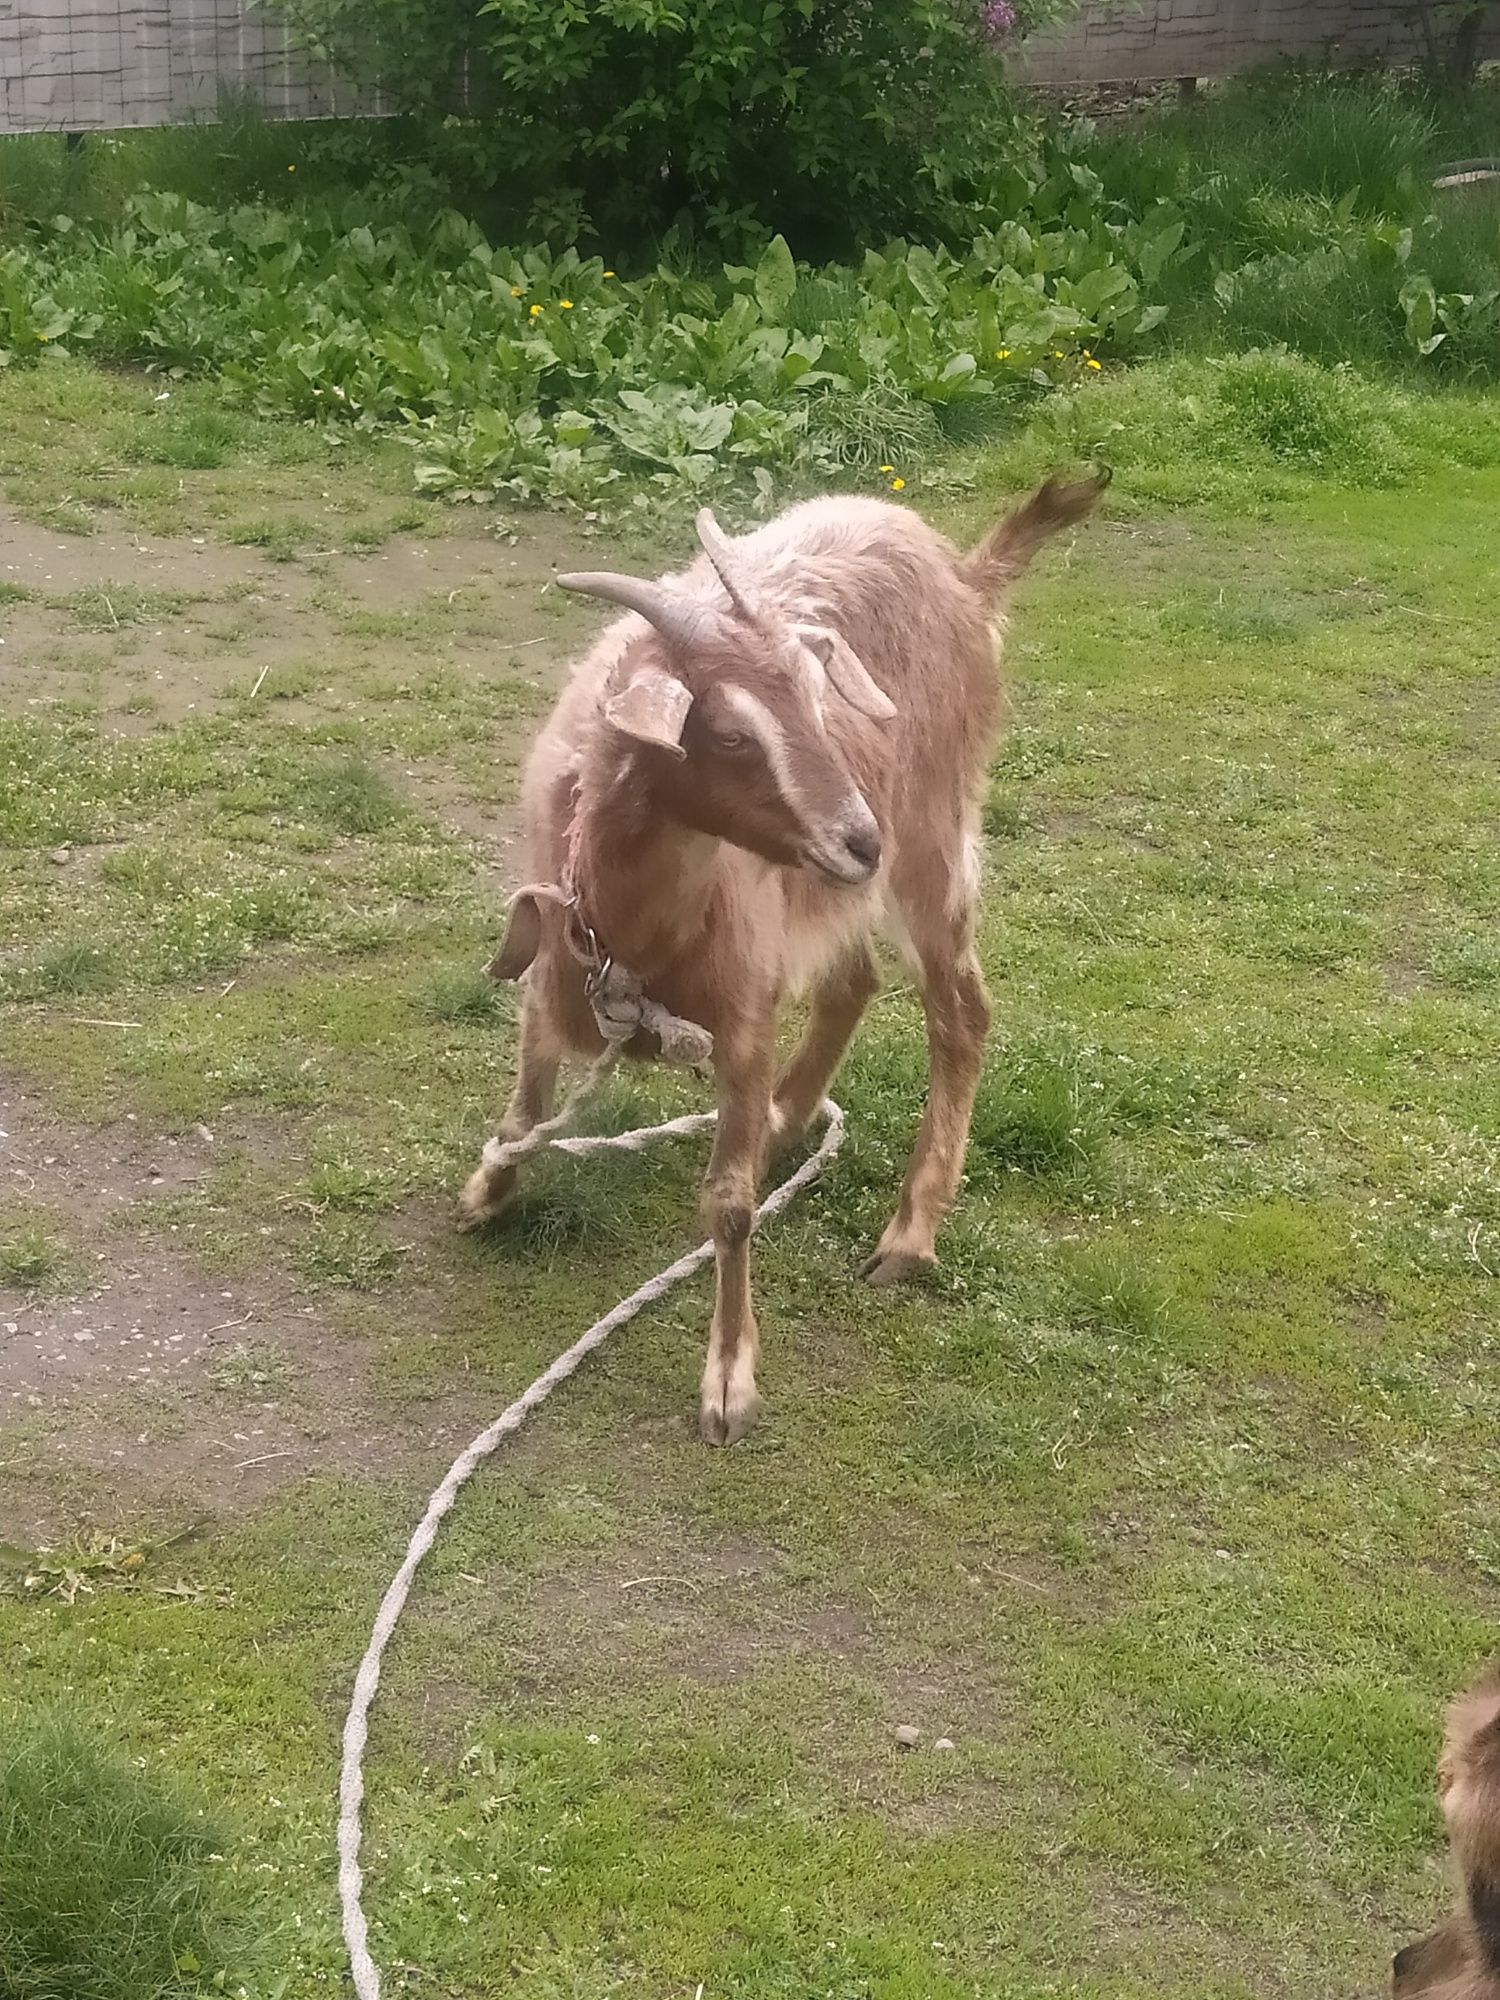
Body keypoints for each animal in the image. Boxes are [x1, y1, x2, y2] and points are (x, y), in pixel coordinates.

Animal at [464, 468, 1112, 1440]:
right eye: (731, 733)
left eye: (817, 700)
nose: (860, 840)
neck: (642, 930)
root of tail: (965, 575)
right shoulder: (553, 978)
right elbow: (520, 1115)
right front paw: (488, 1191)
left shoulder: (743, 1018)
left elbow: (731, 1207)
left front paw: (730, 1379)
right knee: (857, 979)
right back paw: (786, 1122)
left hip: (934, 833)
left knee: (959, 1009)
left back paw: (909, 1233)